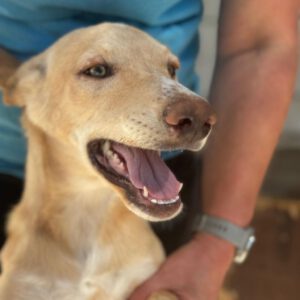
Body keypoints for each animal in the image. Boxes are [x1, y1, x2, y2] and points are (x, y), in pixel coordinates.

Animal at [0, 23, 216, 300]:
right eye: (97, 70)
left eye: (172, 69)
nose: (201, 117)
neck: (88, 216)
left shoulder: (146, 281)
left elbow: (163, 292)